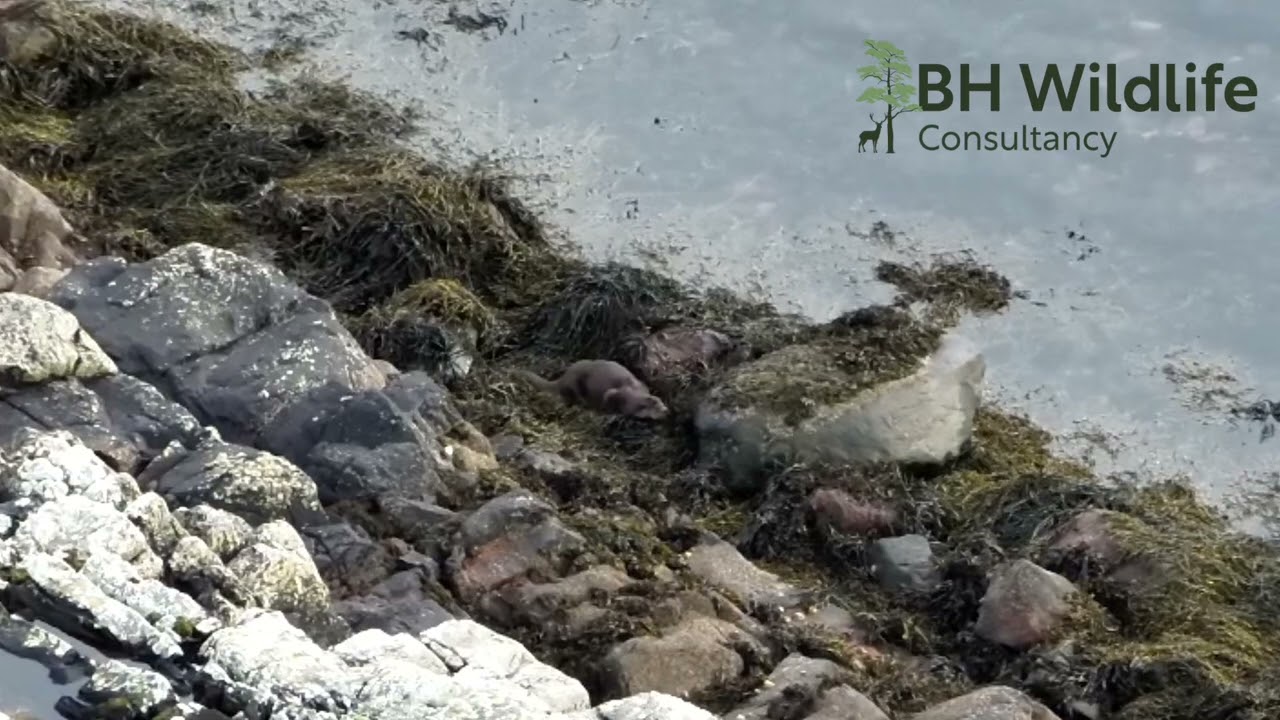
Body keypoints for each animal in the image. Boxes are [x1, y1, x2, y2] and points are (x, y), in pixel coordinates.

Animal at [514, 359, 670, 420]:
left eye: (663, 403)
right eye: (657, 408)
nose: (666, 411)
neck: (634, 394)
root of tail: (564, 376)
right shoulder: (616, 393)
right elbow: (608, 398)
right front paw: (611, 412)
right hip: (574, 382)